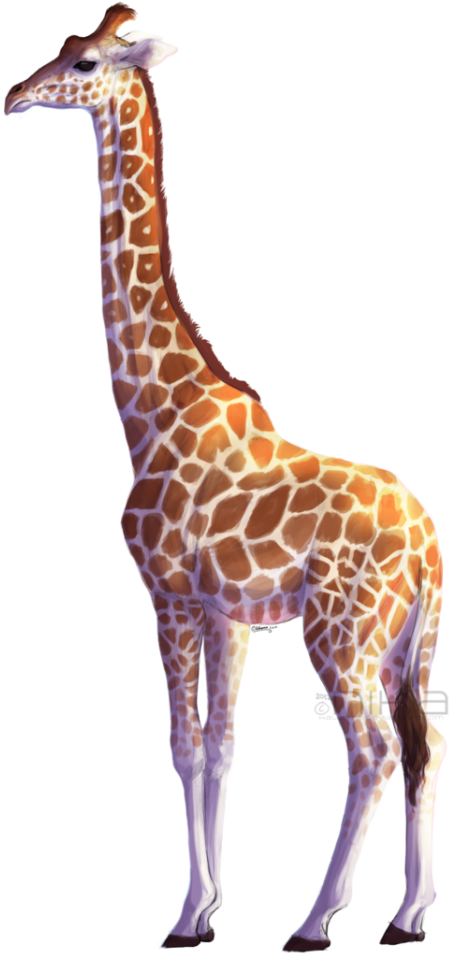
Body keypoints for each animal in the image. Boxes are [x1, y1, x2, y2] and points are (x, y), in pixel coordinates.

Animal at [4, 5, 446, 951]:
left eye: (84, 63)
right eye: (59, 49)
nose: (15, 95)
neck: (148, 410)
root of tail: (429, 544)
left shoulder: (166, 591)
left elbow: (181, 742)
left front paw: (183, 918)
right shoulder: (226, 612)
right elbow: (222, 746)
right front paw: (207, 908)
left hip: (340, 630)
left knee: (375, 750)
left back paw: (315, 921)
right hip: (409, 641)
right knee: (428, 741)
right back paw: (406, 915)